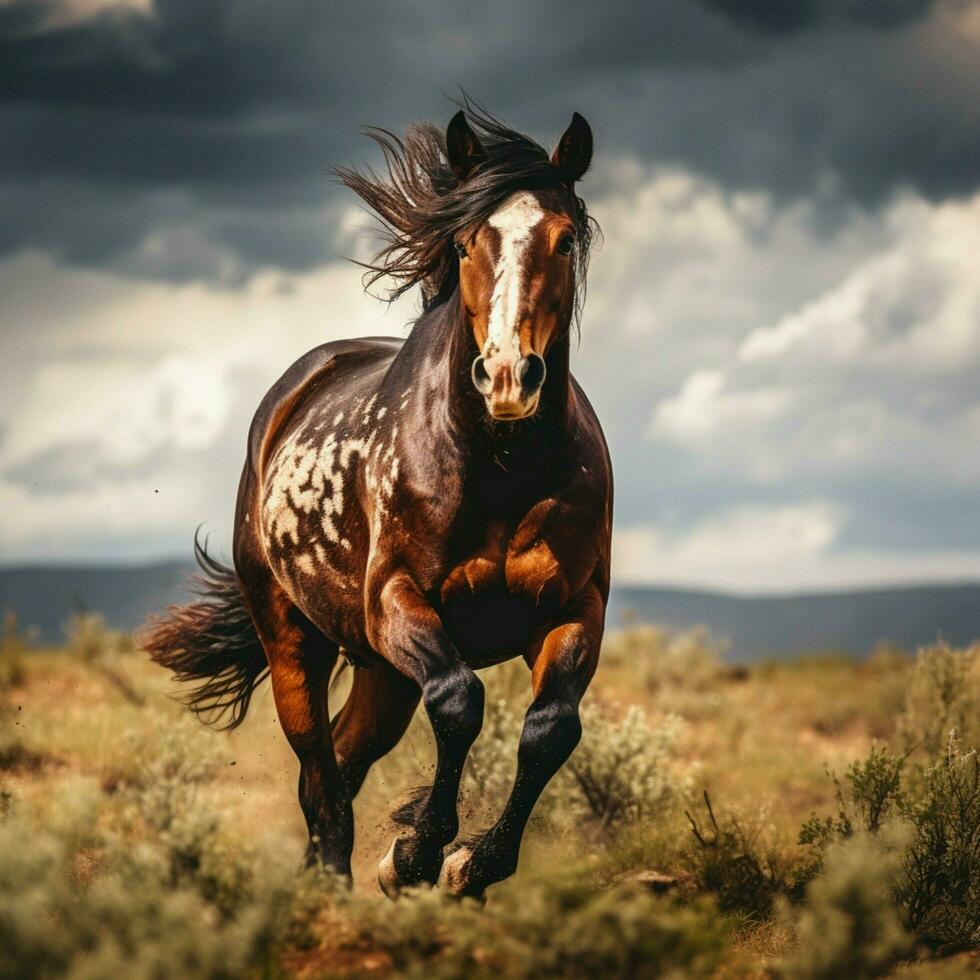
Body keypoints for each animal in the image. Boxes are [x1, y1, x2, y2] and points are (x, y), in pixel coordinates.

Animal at [144, 103, 612, 900]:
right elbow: (458, 703)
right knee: (318, 767)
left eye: (564, 237)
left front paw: (472, 866)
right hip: (297, 638)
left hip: (381, 672)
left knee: (345, 758)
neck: (500, 467)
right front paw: (416, 856)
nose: (508, 378)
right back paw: (331, 880)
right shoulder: (397, 599)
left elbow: (550, 730)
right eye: (466, 241)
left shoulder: (575, 607)